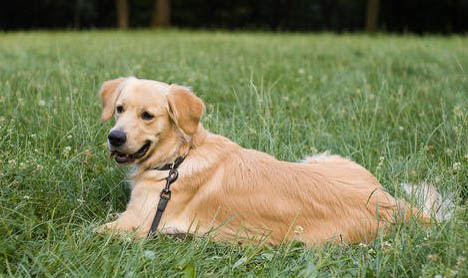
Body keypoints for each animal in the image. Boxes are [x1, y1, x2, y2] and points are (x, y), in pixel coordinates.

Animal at [97, 76, 452, 245]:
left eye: (147, 115)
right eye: (119, 109)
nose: (115, 137)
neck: (180, 157)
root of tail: (393, 204)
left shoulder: (138, 224)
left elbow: (88, 231)